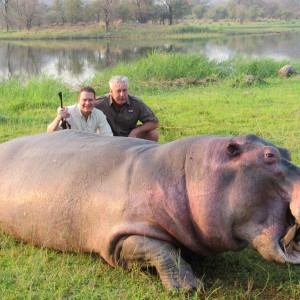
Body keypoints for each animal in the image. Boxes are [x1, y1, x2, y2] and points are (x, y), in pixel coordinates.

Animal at [0, 131, 298, 290]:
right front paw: (189, 287)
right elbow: (161, 250)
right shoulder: (119, 237)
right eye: (269, 156)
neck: (188, 173)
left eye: (286, 151)